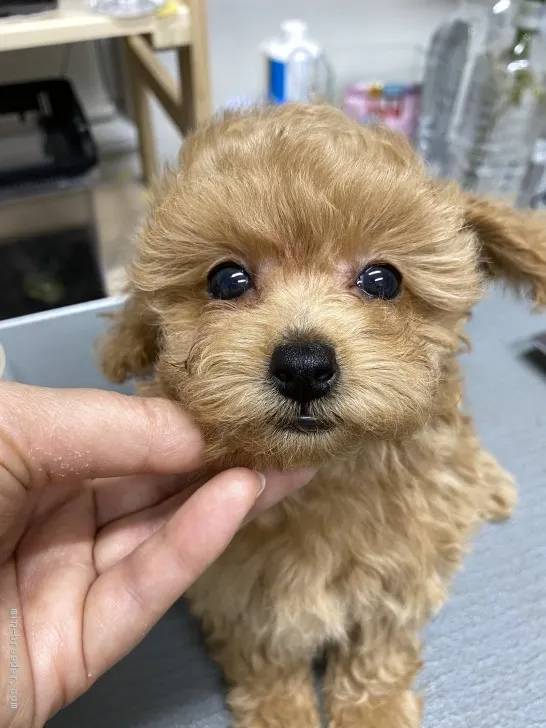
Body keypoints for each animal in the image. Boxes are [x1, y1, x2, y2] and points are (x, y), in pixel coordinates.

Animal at [100, 104, 544, 728]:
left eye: (382, 280)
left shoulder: (400, 570)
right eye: (227, 279)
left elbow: (380, 645)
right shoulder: (235, 589)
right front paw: (280, 711)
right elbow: (265, 653)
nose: (304, 366)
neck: (327, 479)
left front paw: (374, 711)